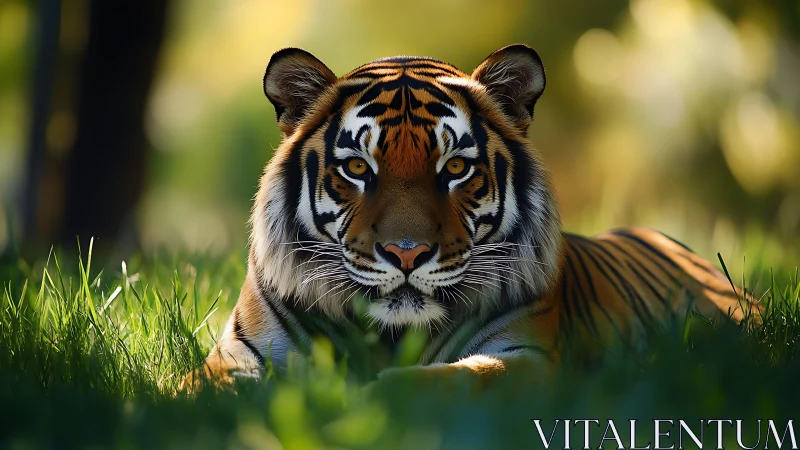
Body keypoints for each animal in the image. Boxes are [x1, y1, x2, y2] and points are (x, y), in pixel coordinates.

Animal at [182, 44, 756, 390]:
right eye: (357, 168)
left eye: (455, 167)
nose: (407, 253)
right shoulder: (240, 352)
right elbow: (204, 387)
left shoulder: (523, 355)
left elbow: (442, 381)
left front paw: (363, 394)